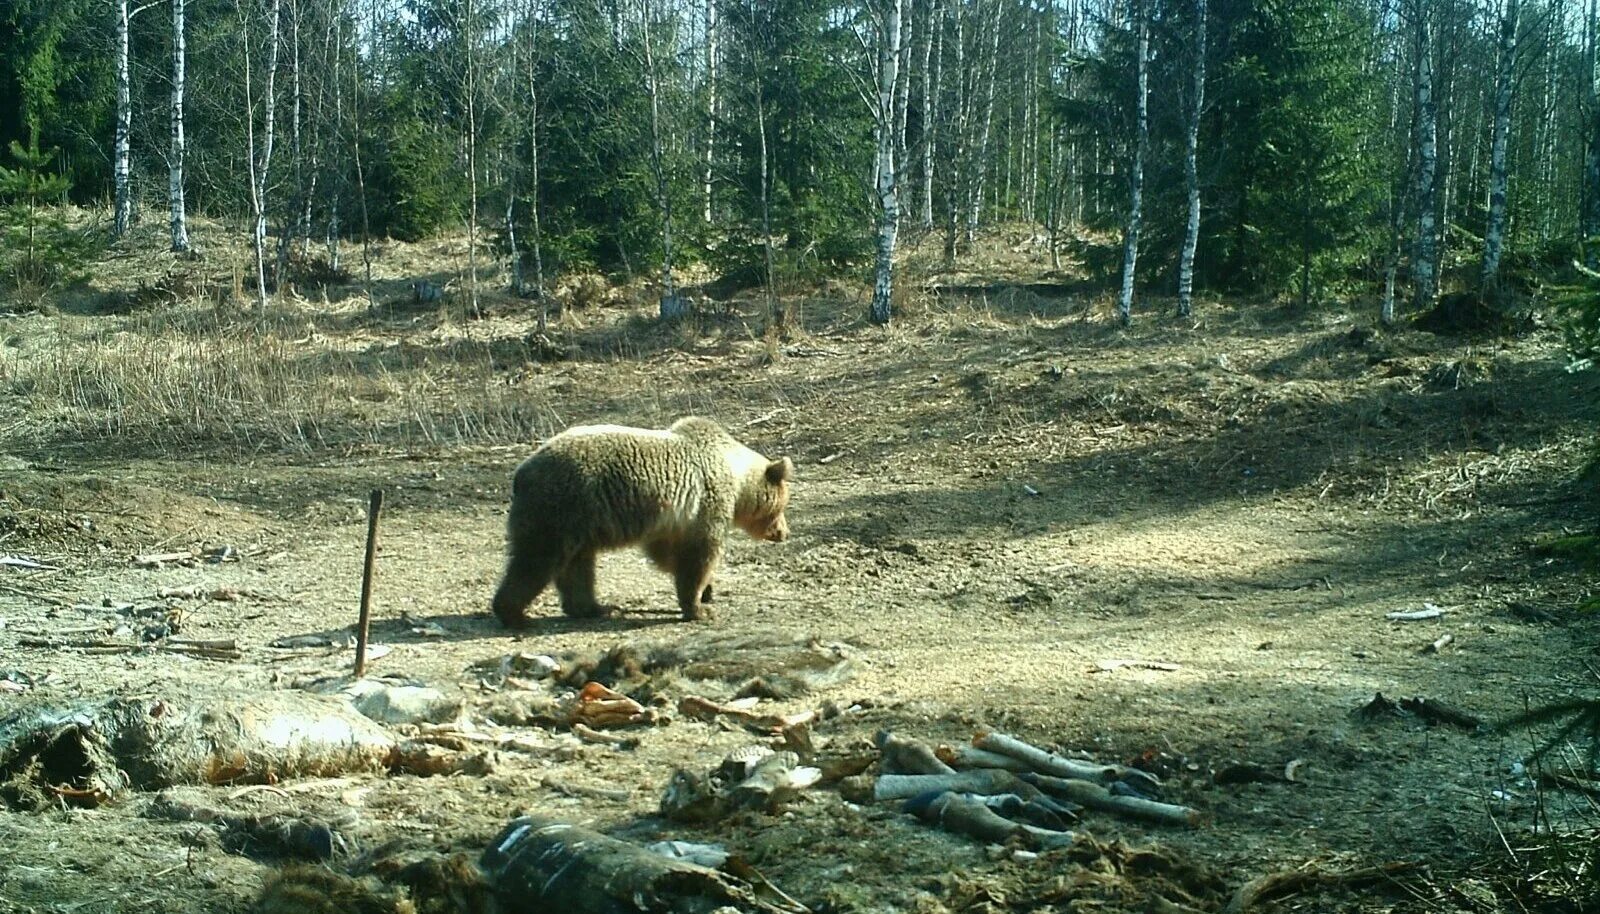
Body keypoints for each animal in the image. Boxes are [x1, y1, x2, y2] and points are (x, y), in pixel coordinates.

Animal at [483, 416, 790, 627]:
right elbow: (698, 555)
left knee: (577, 566)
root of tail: (521, 473)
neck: (737, 479)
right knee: (536, 559)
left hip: (580, 523)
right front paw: (701, 607)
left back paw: (595, 607)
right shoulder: (707, 503)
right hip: (561, 506)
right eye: (783, 505)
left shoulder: (669, 520)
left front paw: (707, 591)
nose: (783, 532)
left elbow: (668, 554)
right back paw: (513, 614)